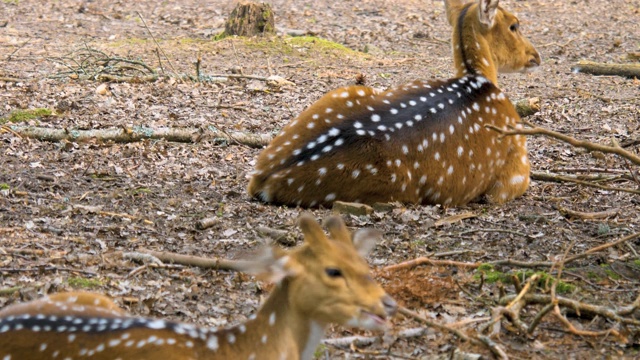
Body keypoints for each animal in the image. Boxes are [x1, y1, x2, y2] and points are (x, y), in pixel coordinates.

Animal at [249, 0, 540, 208]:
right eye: (514, 25)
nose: (536, 56)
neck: (480, 81)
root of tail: (264, 179)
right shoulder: (515, 167)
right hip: (396, 187)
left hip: (343, 92)